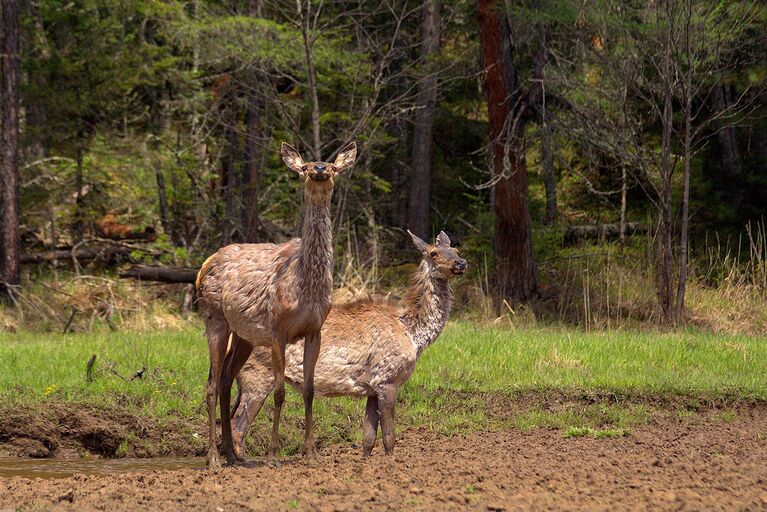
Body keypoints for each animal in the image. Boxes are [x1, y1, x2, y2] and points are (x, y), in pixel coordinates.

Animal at [195, 140, 356, 468]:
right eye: (304, 167)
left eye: (334, 167)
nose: (319, 169)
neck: (306, 285)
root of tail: (203, 267)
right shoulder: (277, 330)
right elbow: (280, 392)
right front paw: (272, 456)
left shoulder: (315, 330)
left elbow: (309, 390)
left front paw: (312, 454)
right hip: (214, 316)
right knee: (210, 383)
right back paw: (214, 458)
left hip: (244, 335)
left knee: (225, 380)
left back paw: (234, 455)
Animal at [225, 230, 464, 458]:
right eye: (433, 253)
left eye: (456, 249)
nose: (461, 263)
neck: (413, 335)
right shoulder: (388, 379)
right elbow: (389, 439)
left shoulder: (372, 388)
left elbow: (368, 440)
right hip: (257, 374)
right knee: (238, 427)